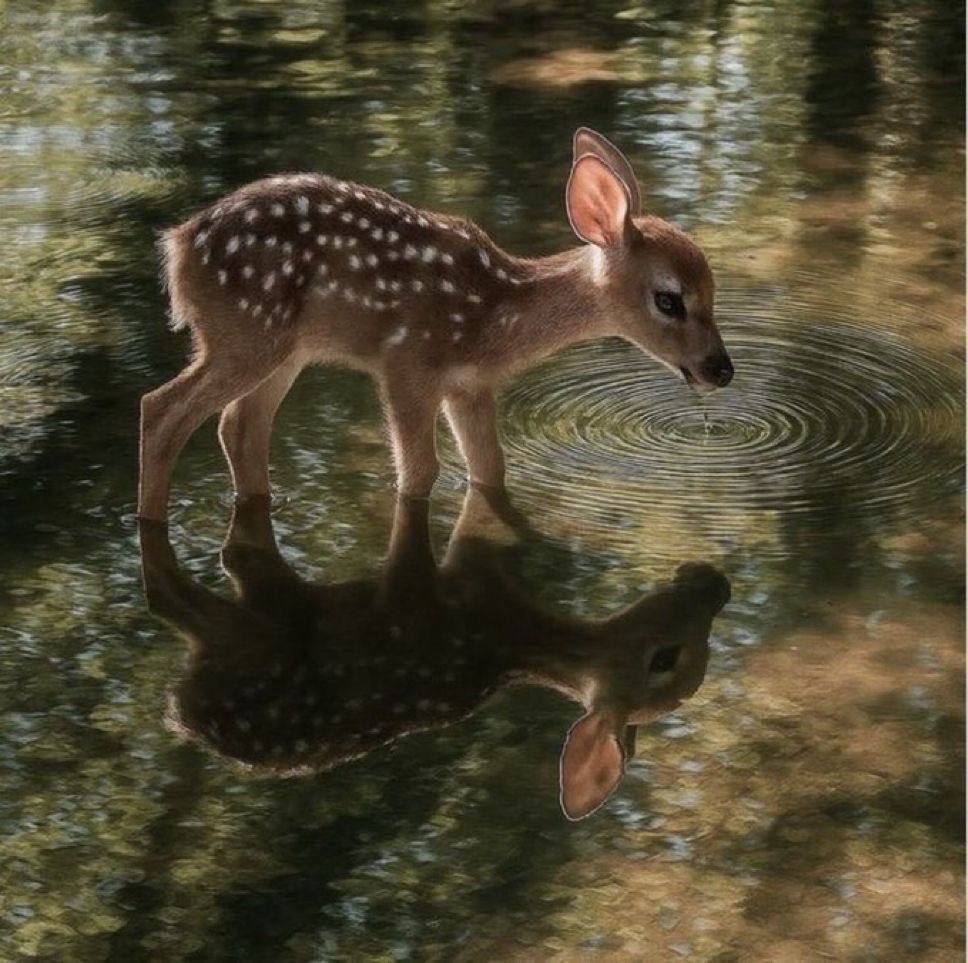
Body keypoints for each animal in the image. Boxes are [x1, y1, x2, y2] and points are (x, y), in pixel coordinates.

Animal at [139, 127, 733, 521]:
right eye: (669, 300)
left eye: (712, 289)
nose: (721, 370)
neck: (493, 316)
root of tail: (177, 247)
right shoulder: (407, 362)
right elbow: (419, 472)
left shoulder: (468, 386)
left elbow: (490, 467)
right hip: (247, 333)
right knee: (161, 409)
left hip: (286, 348)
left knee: (239, 425)